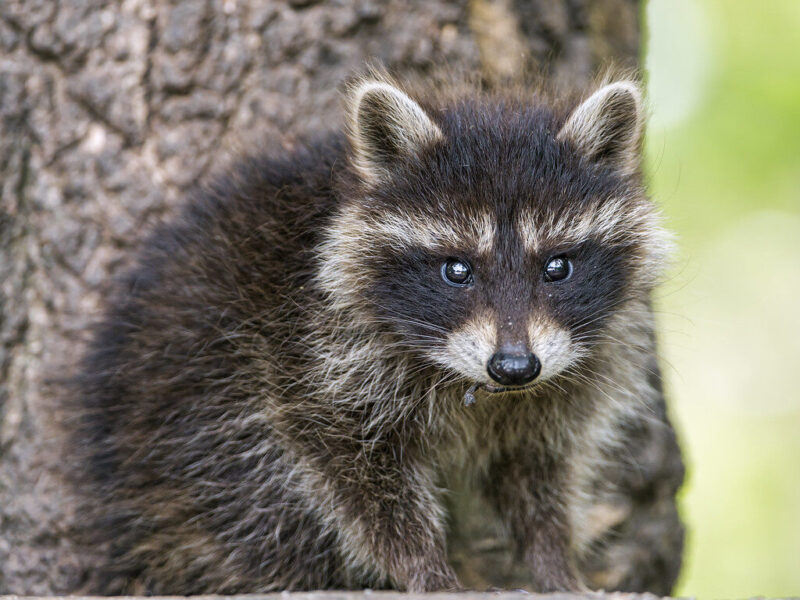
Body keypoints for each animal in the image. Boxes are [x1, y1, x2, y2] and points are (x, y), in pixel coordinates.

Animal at [73, 73, 676, 594]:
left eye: (557, 267)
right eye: (457, 269)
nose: (513, 367)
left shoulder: (563, 379)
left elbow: (536, 469)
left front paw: (554, 562)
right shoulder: (311, 349)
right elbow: (358, 474)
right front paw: (424, 566)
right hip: (196, 401)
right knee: (255, 492)